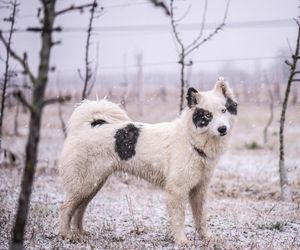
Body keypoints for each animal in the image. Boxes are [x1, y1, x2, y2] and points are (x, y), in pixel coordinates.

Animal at [58, 77, 237, 246]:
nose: (222, 129)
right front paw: (181, 241)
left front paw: (207, 238)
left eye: (224, 110)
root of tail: (86, 127)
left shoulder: (199, 190)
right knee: (66, 207)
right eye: (207, 115)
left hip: (93, 184)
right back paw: (66, 235)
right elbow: (179, 218)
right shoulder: (177, 191)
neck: (191, 140)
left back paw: (80, 233)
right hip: (84, 184)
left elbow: (201, 218)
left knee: (80, 209)